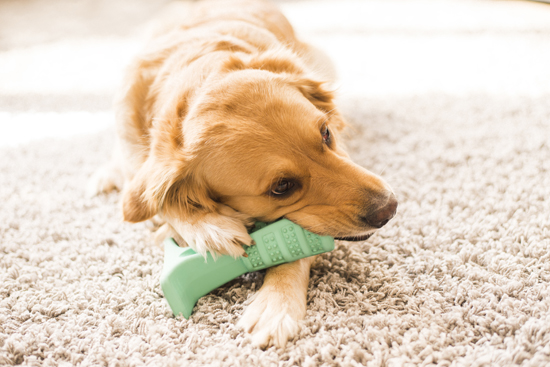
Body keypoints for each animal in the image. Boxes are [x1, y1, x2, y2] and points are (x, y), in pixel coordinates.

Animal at [88, 0, 398, 350]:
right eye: (282, 186)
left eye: (326, 133)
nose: (389, 208)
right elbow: (152, 198)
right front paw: (205, 226)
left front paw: (277, 303)